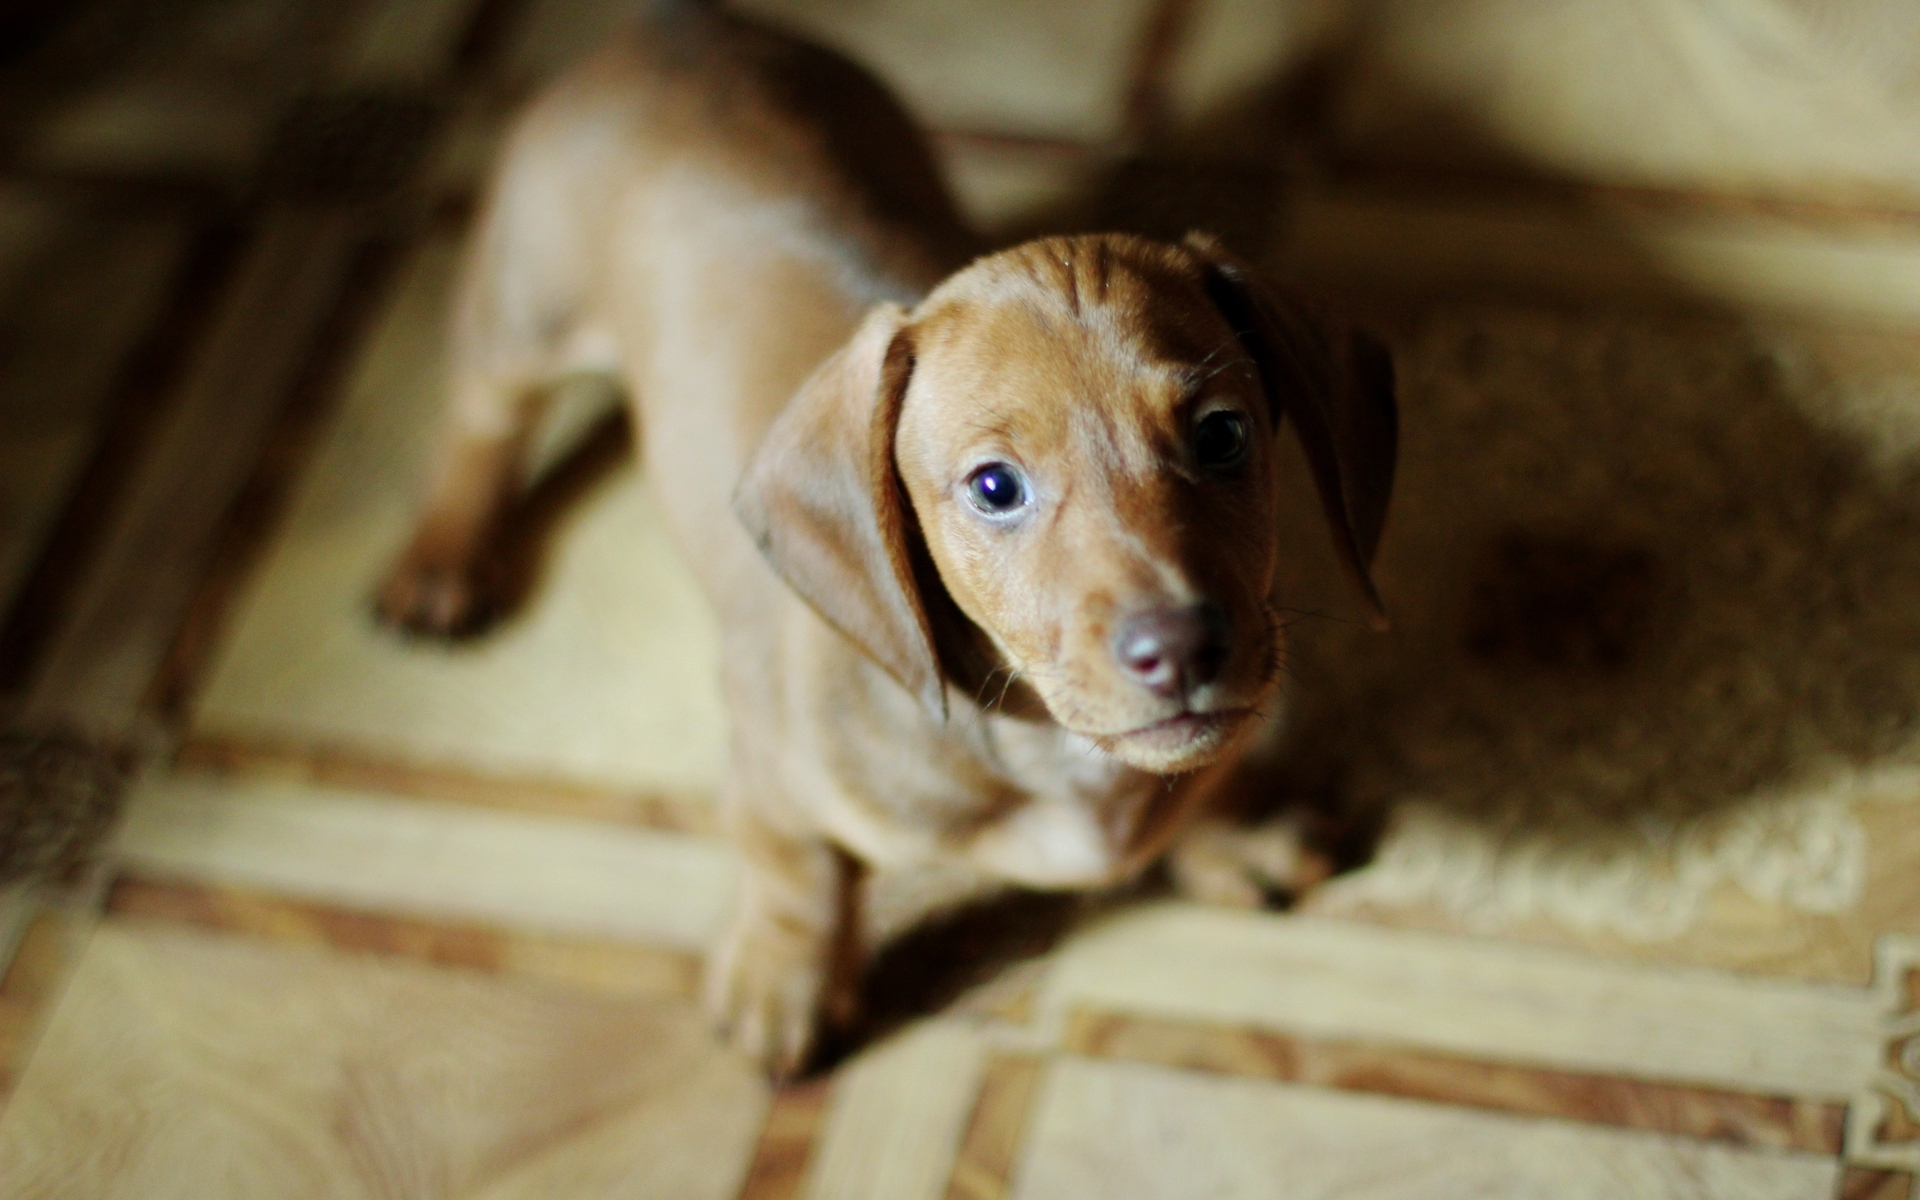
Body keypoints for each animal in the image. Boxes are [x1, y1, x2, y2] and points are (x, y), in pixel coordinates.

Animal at [378, 2, 1397, 1075]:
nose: (1185, 647)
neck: (1043, 741)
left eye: (1222, 435)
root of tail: (677, 27)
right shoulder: (771, 764)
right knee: (480, 418)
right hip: (525, 303)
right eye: (995, 487)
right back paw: (440, 560)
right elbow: (798, 871)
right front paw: (784, 982)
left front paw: (1237, 824)